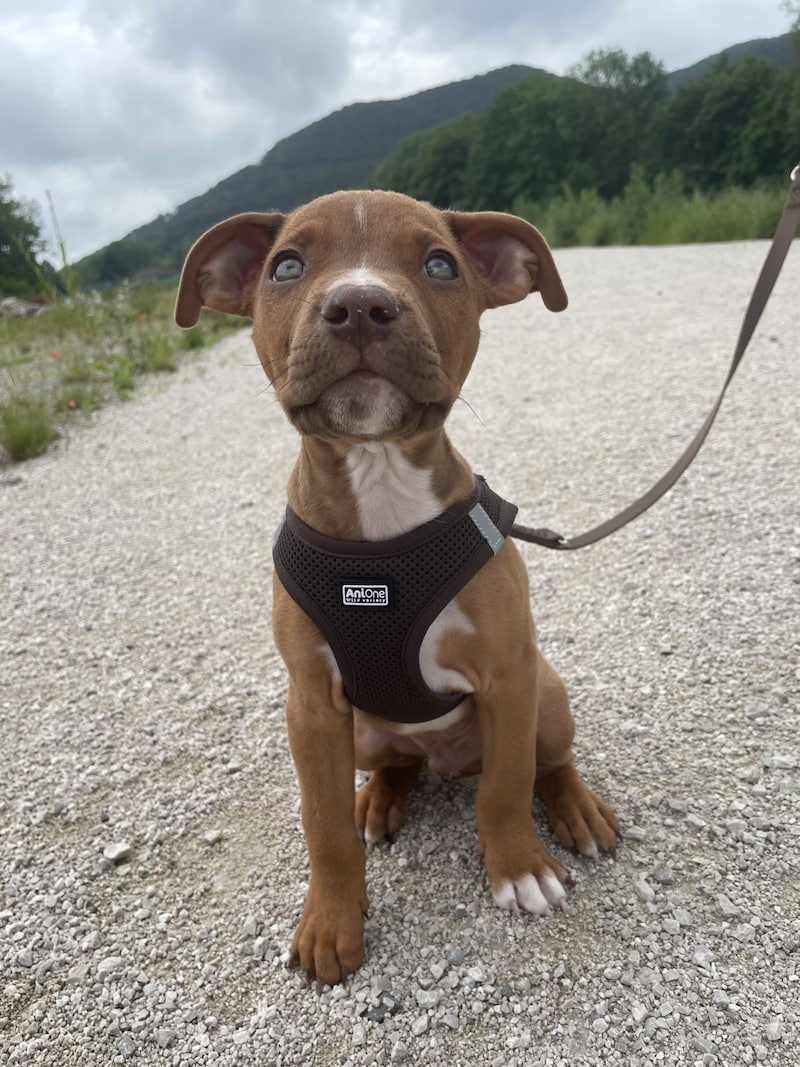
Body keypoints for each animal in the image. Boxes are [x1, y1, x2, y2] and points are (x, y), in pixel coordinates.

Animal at [178, 189, 622, 981]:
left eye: (440, 264)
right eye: (286, 266)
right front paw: (331, 920)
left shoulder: (509, 676)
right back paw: (379, 801)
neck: (379, 478)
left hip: (546, 692)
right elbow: (321, 825)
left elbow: (506, 785)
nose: (359, 304)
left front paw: (519, 867)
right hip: (361, 733)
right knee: (395, 767)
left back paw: (575, 808)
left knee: (546, 761)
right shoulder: (311, 707)